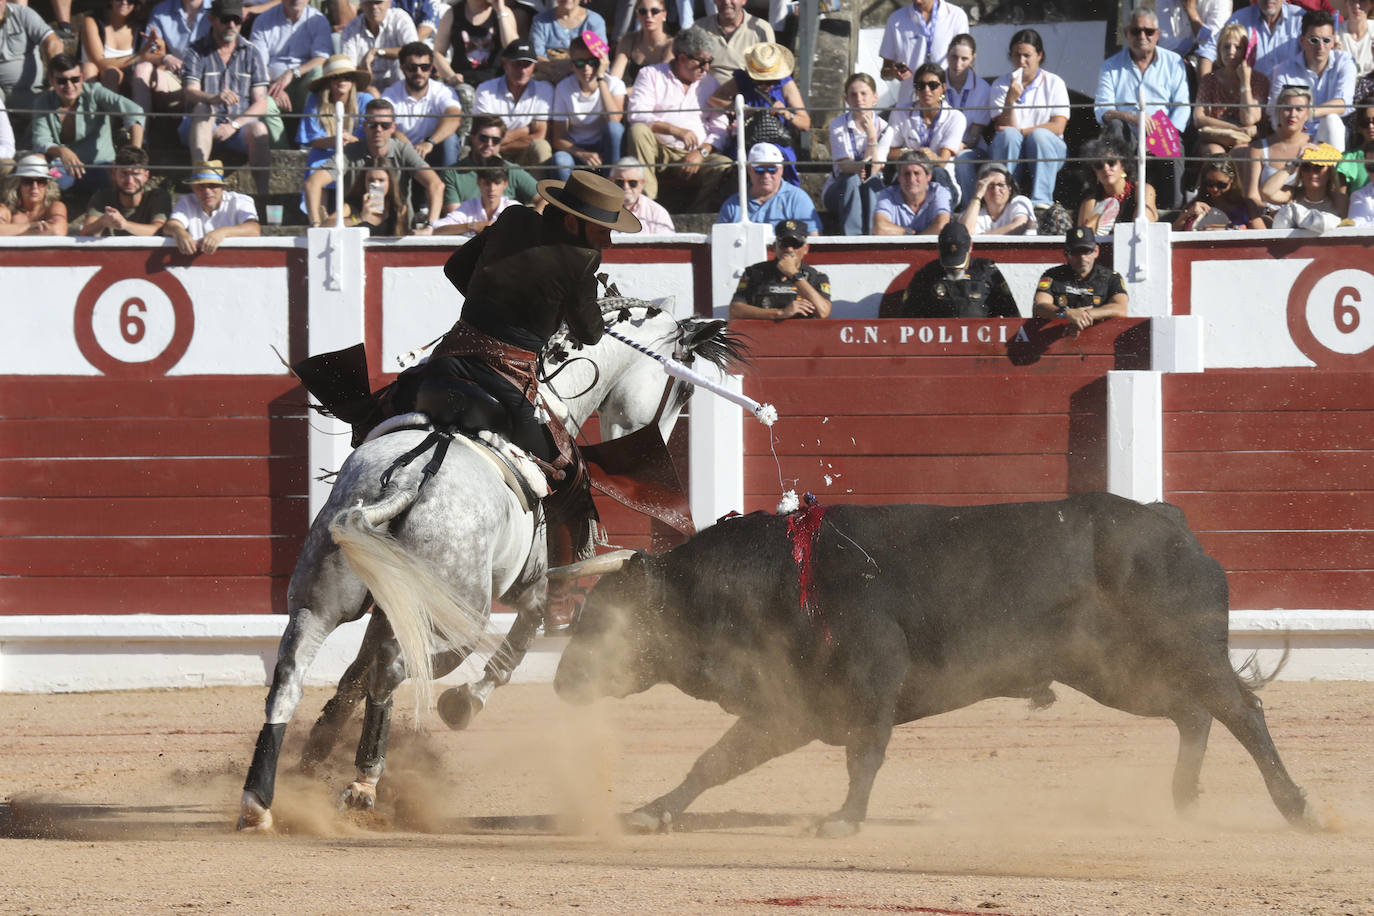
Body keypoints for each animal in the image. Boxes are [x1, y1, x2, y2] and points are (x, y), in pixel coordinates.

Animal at [239, 304, 752, 834]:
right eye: (684, 389)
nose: (661, 441)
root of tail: (410, 477)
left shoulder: (390, 604)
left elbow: (352, 676)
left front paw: (314, 755)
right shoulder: (533, 589)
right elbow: (516, 647)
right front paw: (465, 702)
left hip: (320, 595)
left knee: (295, 672)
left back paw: (262, 799)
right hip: (458, 623)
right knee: (394, 670)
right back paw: (363, 783)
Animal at [552, 494, 1313, 840]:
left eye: (607, 623)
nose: (561, 683)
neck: (770, 580)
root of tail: (1172, 522)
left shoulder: (871, 683)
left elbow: (865, 756)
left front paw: (844, 821)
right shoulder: (791, 707)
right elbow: (715, 761)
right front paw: (650, 812)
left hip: (1182, 650)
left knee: (1239, 708)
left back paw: (1296, 807)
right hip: (1116, 673)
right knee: (1193, 714)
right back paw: (1180, 803)